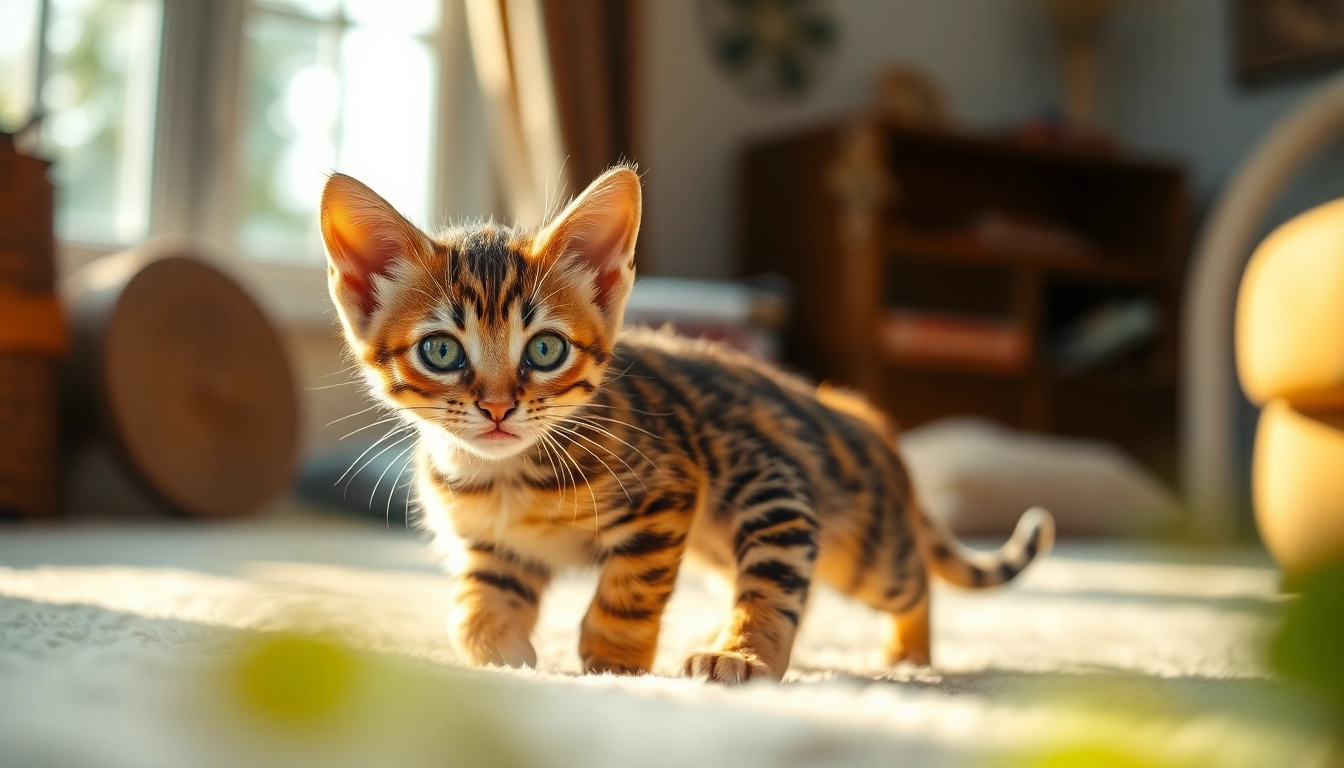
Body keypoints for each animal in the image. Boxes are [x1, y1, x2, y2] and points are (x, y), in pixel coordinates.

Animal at [319, 165, 1053, 683]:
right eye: (442, 352)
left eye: (545, 350)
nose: (497, 408)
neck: (506, 478)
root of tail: (873, 426)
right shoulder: (493, 547)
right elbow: (474, 608)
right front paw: (499, 648)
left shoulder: (673, 491)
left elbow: (629, 590)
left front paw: (613, 660)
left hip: (834, 527)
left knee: (891, 579)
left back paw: (846, 653)